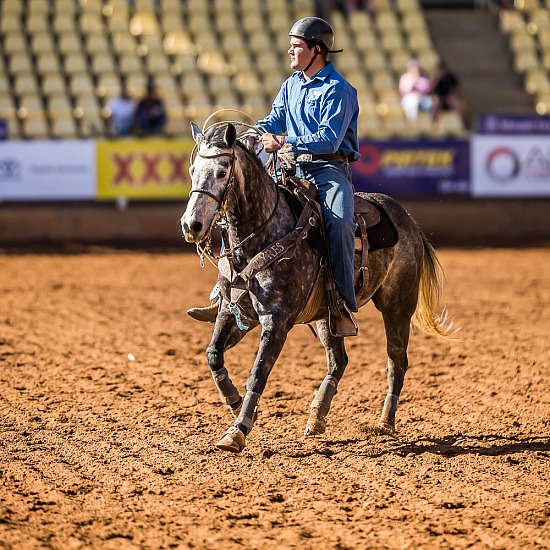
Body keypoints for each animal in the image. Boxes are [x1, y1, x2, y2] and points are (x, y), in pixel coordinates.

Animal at [182, 123, 458, 454]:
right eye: (193, 170)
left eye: (222, 171)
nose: (191, 225)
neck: (264, 233)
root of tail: (409, 221)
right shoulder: (235, 313)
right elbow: (213, 355)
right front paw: (234, 402)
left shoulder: (276, 321)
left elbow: (258, 373)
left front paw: (238, 430)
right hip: (329, 317)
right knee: (339, 361)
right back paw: (316, 417)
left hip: (397, 305)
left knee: (396, 361)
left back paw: (385, 422)